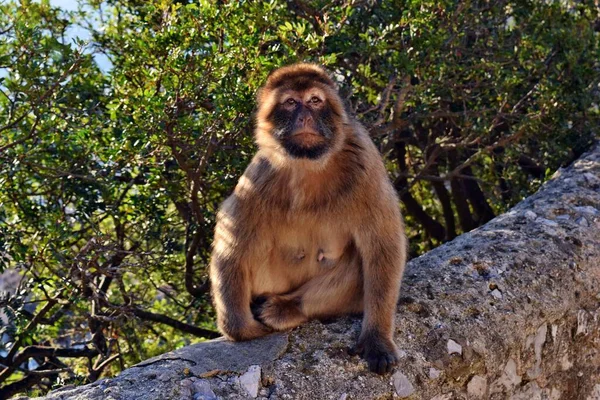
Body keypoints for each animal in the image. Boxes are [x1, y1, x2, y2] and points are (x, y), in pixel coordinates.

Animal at [209, 63, 406, 376]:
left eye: (315, 100)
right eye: (291, 102)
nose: (304, 116)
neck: (310, 165)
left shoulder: (365, 163)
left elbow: (382, 246)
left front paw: (377, 339)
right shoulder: (261, 173)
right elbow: (232, 244)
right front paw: (240, 328)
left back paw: (287, 309)